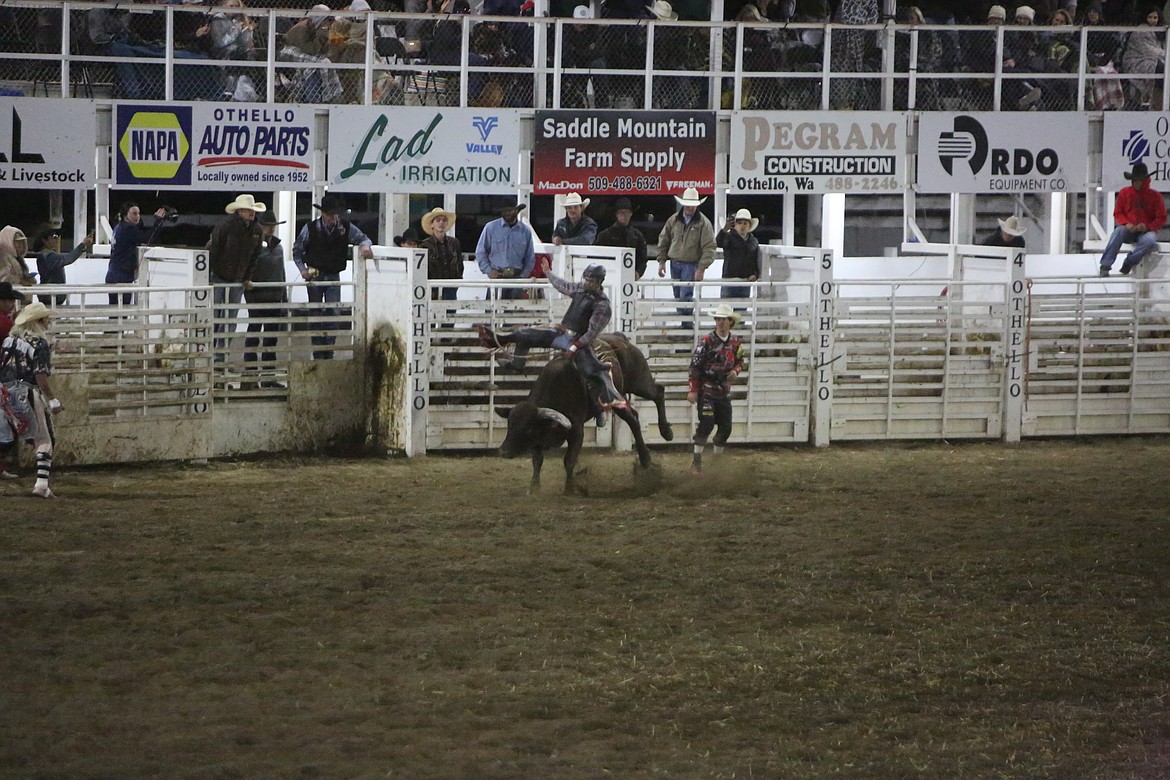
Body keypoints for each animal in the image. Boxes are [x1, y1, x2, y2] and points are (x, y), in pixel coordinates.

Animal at [489, 332, 673, 491]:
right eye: (510, 425)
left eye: (527, 428)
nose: (503, 451)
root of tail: (619, 338)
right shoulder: (539, 438)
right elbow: (537, 461)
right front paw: (534, 487)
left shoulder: (577, 430)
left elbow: (569, 461)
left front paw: (570, 488)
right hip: (618, 398)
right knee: (634, 417)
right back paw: (648, 454)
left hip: (638, 382)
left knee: (657, 393)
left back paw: (662, 436)